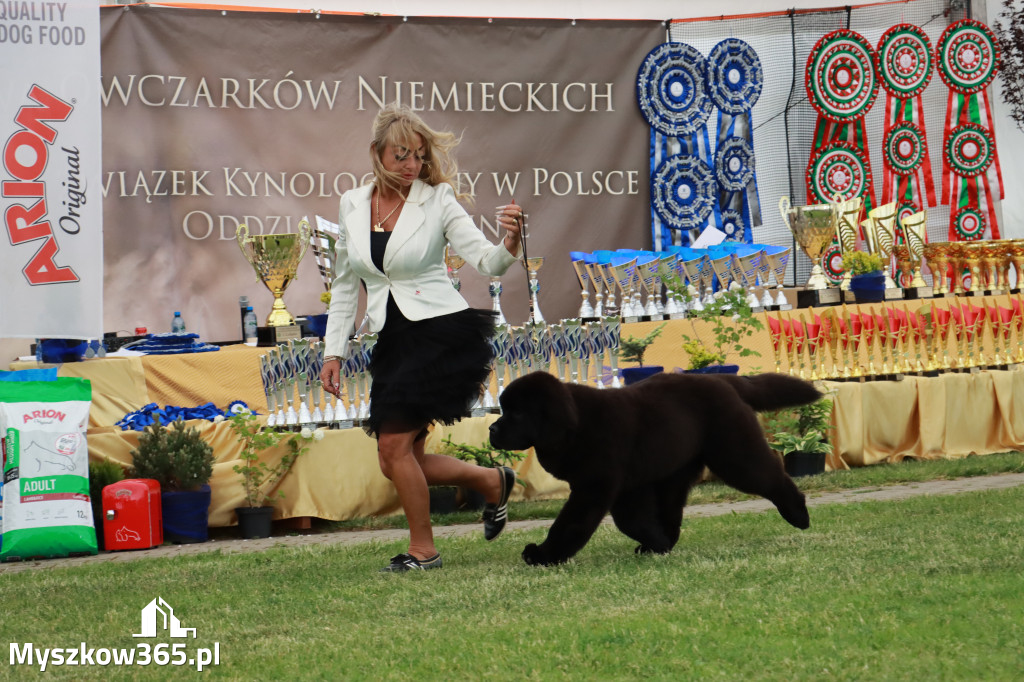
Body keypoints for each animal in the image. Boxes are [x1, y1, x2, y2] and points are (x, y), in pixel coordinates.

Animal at [489, 368, 823, 565]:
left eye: (516, 413)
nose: (491, 429)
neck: (575, 425)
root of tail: (722, 379)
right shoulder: (627, 486)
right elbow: (633, 520)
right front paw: (657, 544)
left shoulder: (597, 485)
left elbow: (574, 522)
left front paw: (543, 555)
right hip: (675, 472)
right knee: (671, 509)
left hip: (734, 454)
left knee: (769, 477)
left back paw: (799, 514)